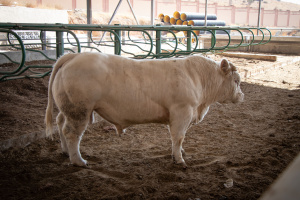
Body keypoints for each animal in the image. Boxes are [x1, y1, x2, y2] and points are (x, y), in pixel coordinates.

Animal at [45, 52, 245, 168]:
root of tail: (74, 56)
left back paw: (65, 152)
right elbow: (179, 136)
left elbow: (178, 138)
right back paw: (79, 161)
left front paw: (180, 153)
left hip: (68, 109)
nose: (241, 96)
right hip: (79, 110)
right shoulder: (182, 111)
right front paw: (179, 159)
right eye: (236, 80)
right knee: (71, 133)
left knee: (60, 123)